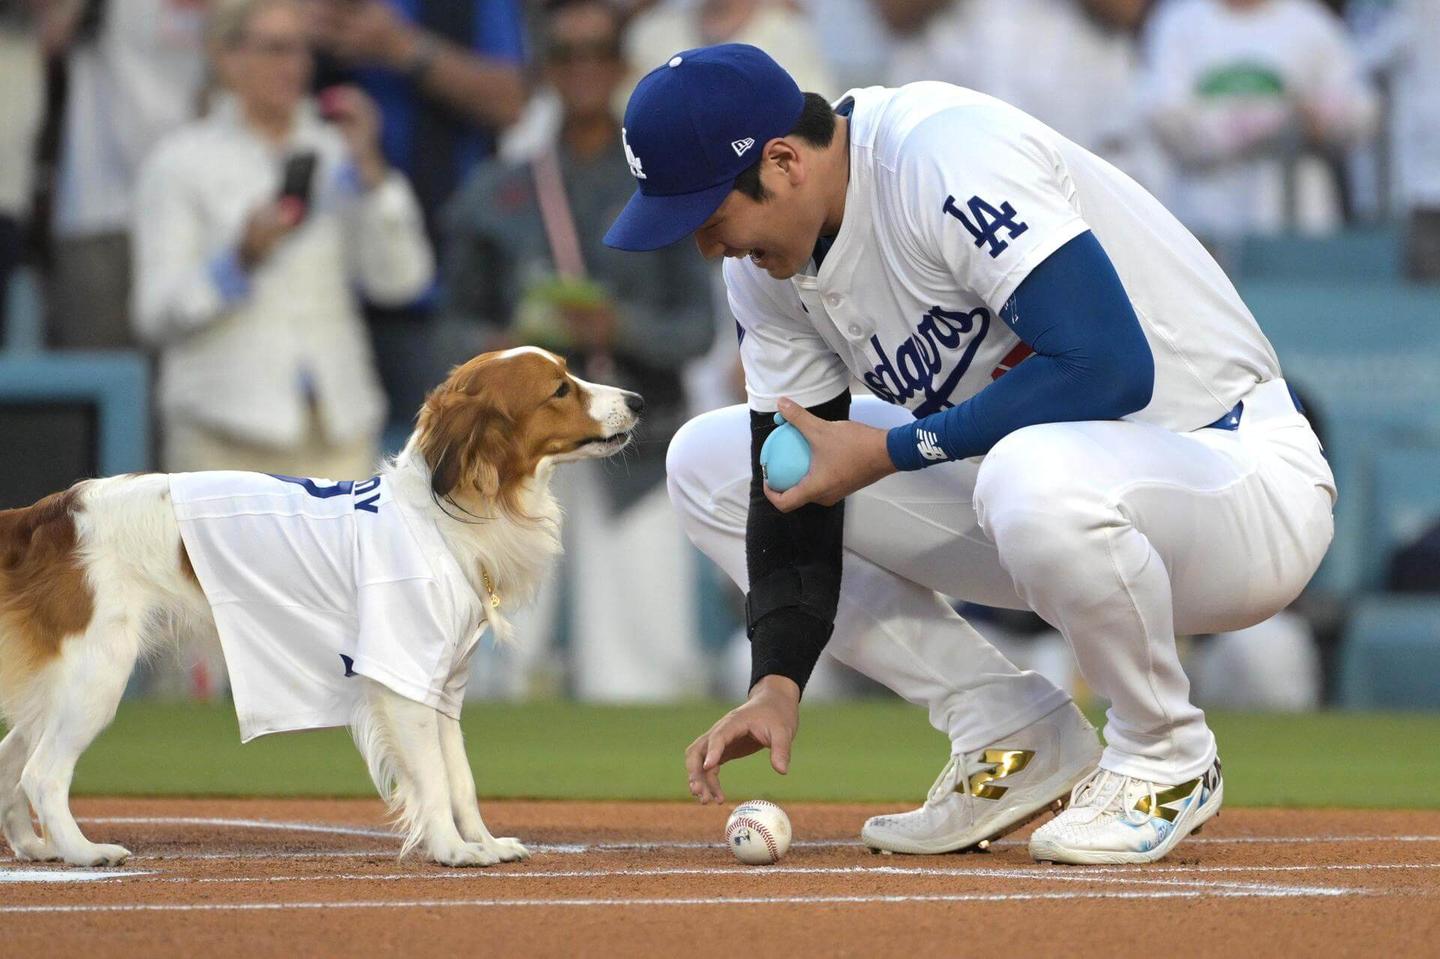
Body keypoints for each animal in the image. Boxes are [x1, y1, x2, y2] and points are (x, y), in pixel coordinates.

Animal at [0, 345, 642, 863]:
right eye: (560, 389)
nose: (637, 399)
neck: (443, 516)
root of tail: (52, 512)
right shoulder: (403, 683)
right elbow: (434, 780)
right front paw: (452, 850)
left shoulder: (441, 687)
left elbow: (460, 779)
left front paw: (481, 841)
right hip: (98, 676)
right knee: (42, 774)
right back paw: (82, 851)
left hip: (67, 684)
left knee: (13, 759)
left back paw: (35, 847)